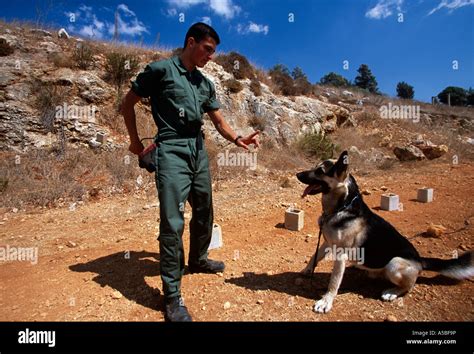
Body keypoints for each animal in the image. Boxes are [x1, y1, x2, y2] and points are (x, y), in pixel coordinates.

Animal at [298, 150, 472, 312]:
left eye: (320, 170)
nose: (297, 174)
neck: (342, 207)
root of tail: (419, 260)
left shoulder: (341, 254)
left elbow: (334, 282)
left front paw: (326, 301)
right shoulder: (327, 242)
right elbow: (314, 257)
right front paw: (306, 270)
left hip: (394, 264)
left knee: (409, 286)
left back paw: (392, 292)